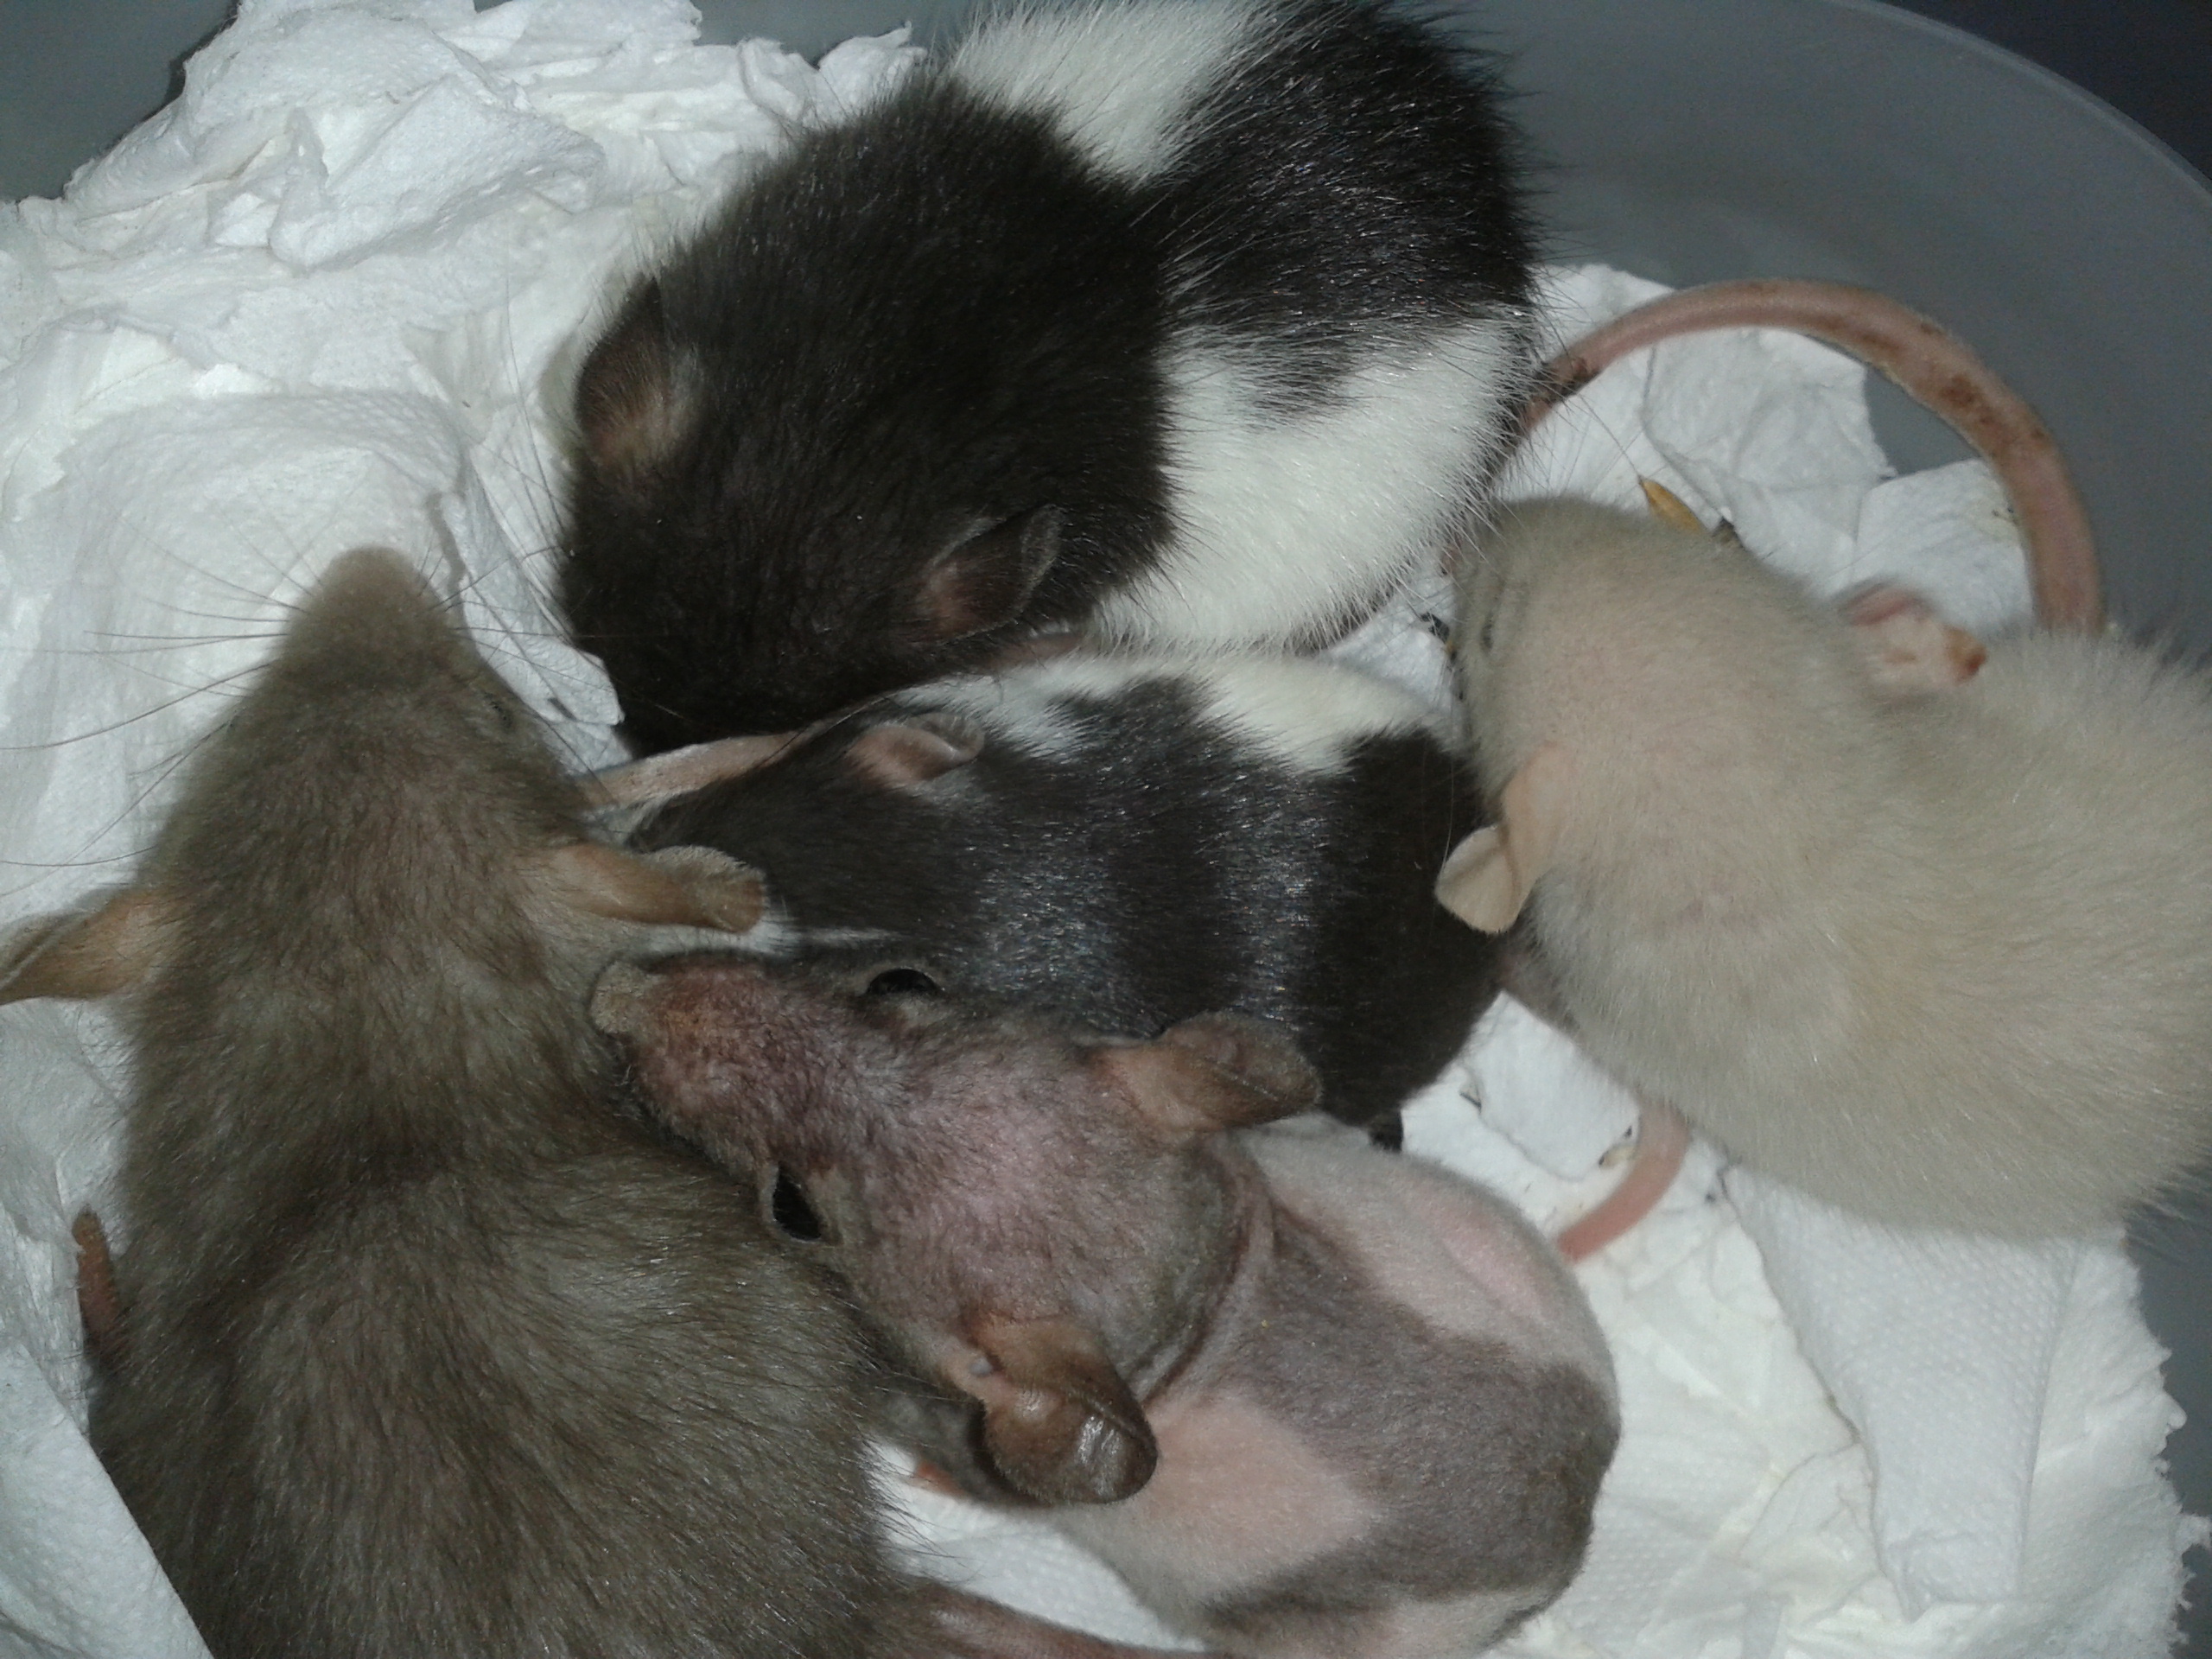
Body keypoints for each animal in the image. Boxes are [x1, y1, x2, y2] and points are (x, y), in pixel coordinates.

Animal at [591, 954, 1620, 1659]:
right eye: (898, 979)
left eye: (793, 1208)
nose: (623, 991)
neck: (1209, 1304)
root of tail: (1565, 1543)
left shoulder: (969, 1430)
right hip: (1496, 1246)